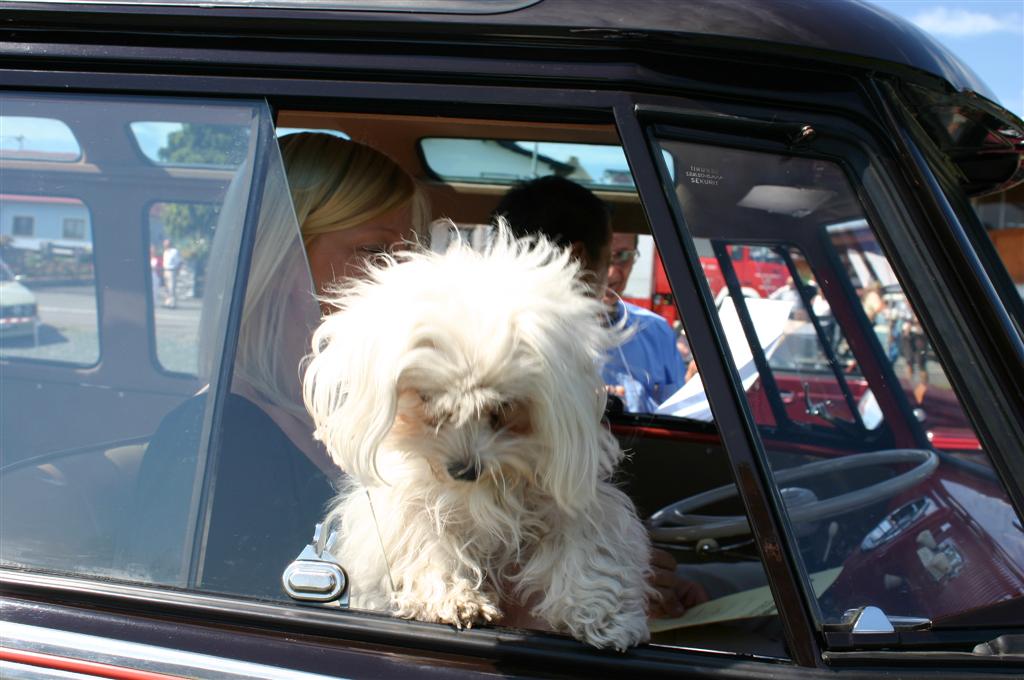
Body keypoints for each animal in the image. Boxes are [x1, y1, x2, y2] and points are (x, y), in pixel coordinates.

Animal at [301, 225, 647, 651]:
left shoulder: (572, 496)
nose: (464, 469)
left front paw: (604, 617)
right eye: (427, 399)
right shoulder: (405, 504)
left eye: (502, 407)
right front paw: (453, 598)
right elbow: (425, 536)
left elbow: (587, 547)